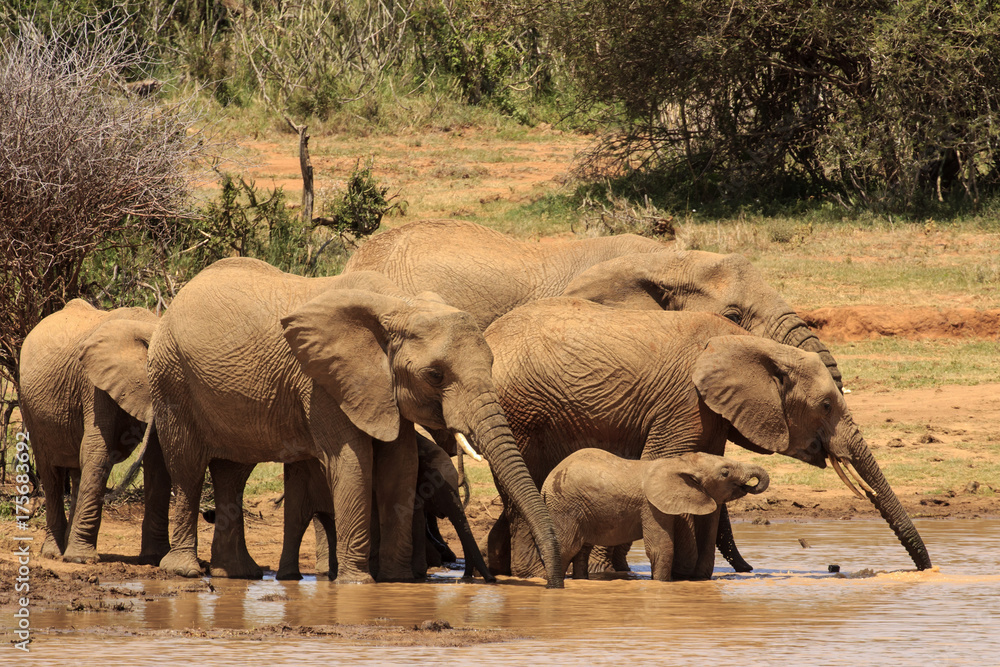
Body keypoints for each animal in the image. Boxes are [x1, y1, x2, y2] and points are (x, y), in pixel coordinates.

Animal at [18, 299, 170, 563]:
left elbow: (158, 458)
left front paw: (156, 558)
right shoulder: (94, 385)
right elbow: (98, 450)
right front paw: (80, 559)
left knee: (77, 471)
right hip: (30, 406)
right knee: (51, 472)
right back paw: (55, 553)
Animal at [277, 435, 494, 581]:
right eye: (433, 487)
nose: (467, 577)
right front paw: (418, 573)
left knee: (322, 521)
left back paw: (330, 573)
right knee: (298, 520)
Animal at [541, 449, 770, 581]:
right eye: (725, 473)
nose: (749, 485)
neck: (679, 463)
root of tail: (546, 483)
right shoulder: (651, 505)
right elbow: (661, 548)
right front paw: (661, 584)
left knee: (582, 549)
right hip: (565, 506)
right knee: (567, 547)